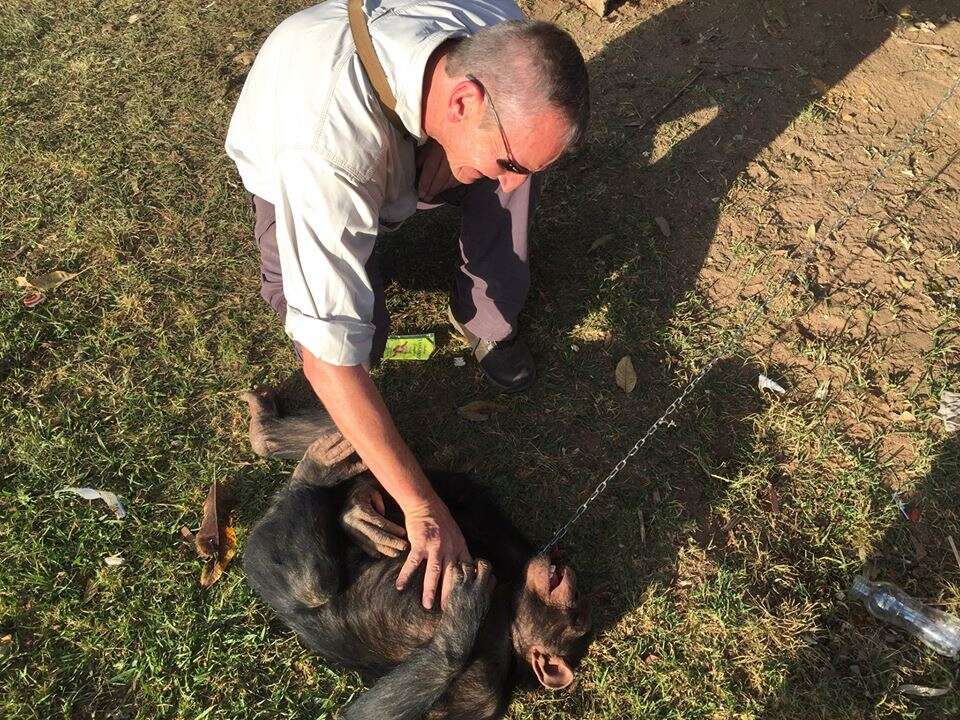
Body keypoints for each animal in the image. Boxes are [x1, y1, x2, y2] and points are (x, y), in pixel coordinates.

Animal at [244, 388, 588, 720]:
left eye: (577, 611)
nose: (569, 574)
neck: (509, 615)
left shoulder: (481, 694)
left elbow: (365, 714)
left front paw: (464, 609)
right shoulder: (505, 543)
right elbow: (457, 499)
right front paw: (359, 512)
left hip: (265, 562)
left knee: (314, 585)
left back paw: (308, 473)